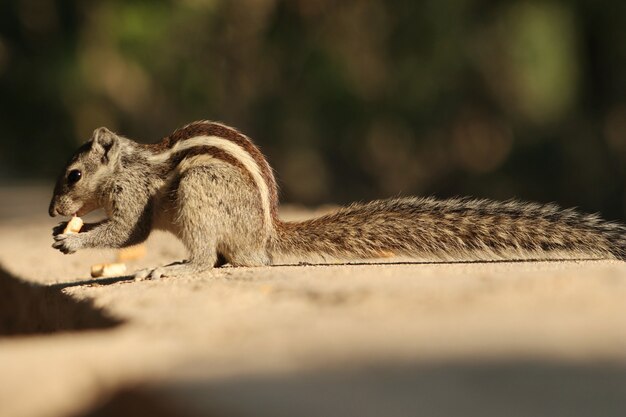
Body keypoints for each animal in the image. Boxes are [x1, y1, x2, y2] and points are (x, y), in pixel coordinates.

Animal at [50, 120, 624, 278]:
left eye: (73, 175)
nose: (52, 212)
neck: (128, 162)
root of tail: (267, 235)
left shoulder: (134, 195)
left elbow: (128, 231)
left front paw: (72, 242)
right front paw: (63, 233)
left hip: (199, 190)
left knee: (209, 258)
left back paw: (175, 266)